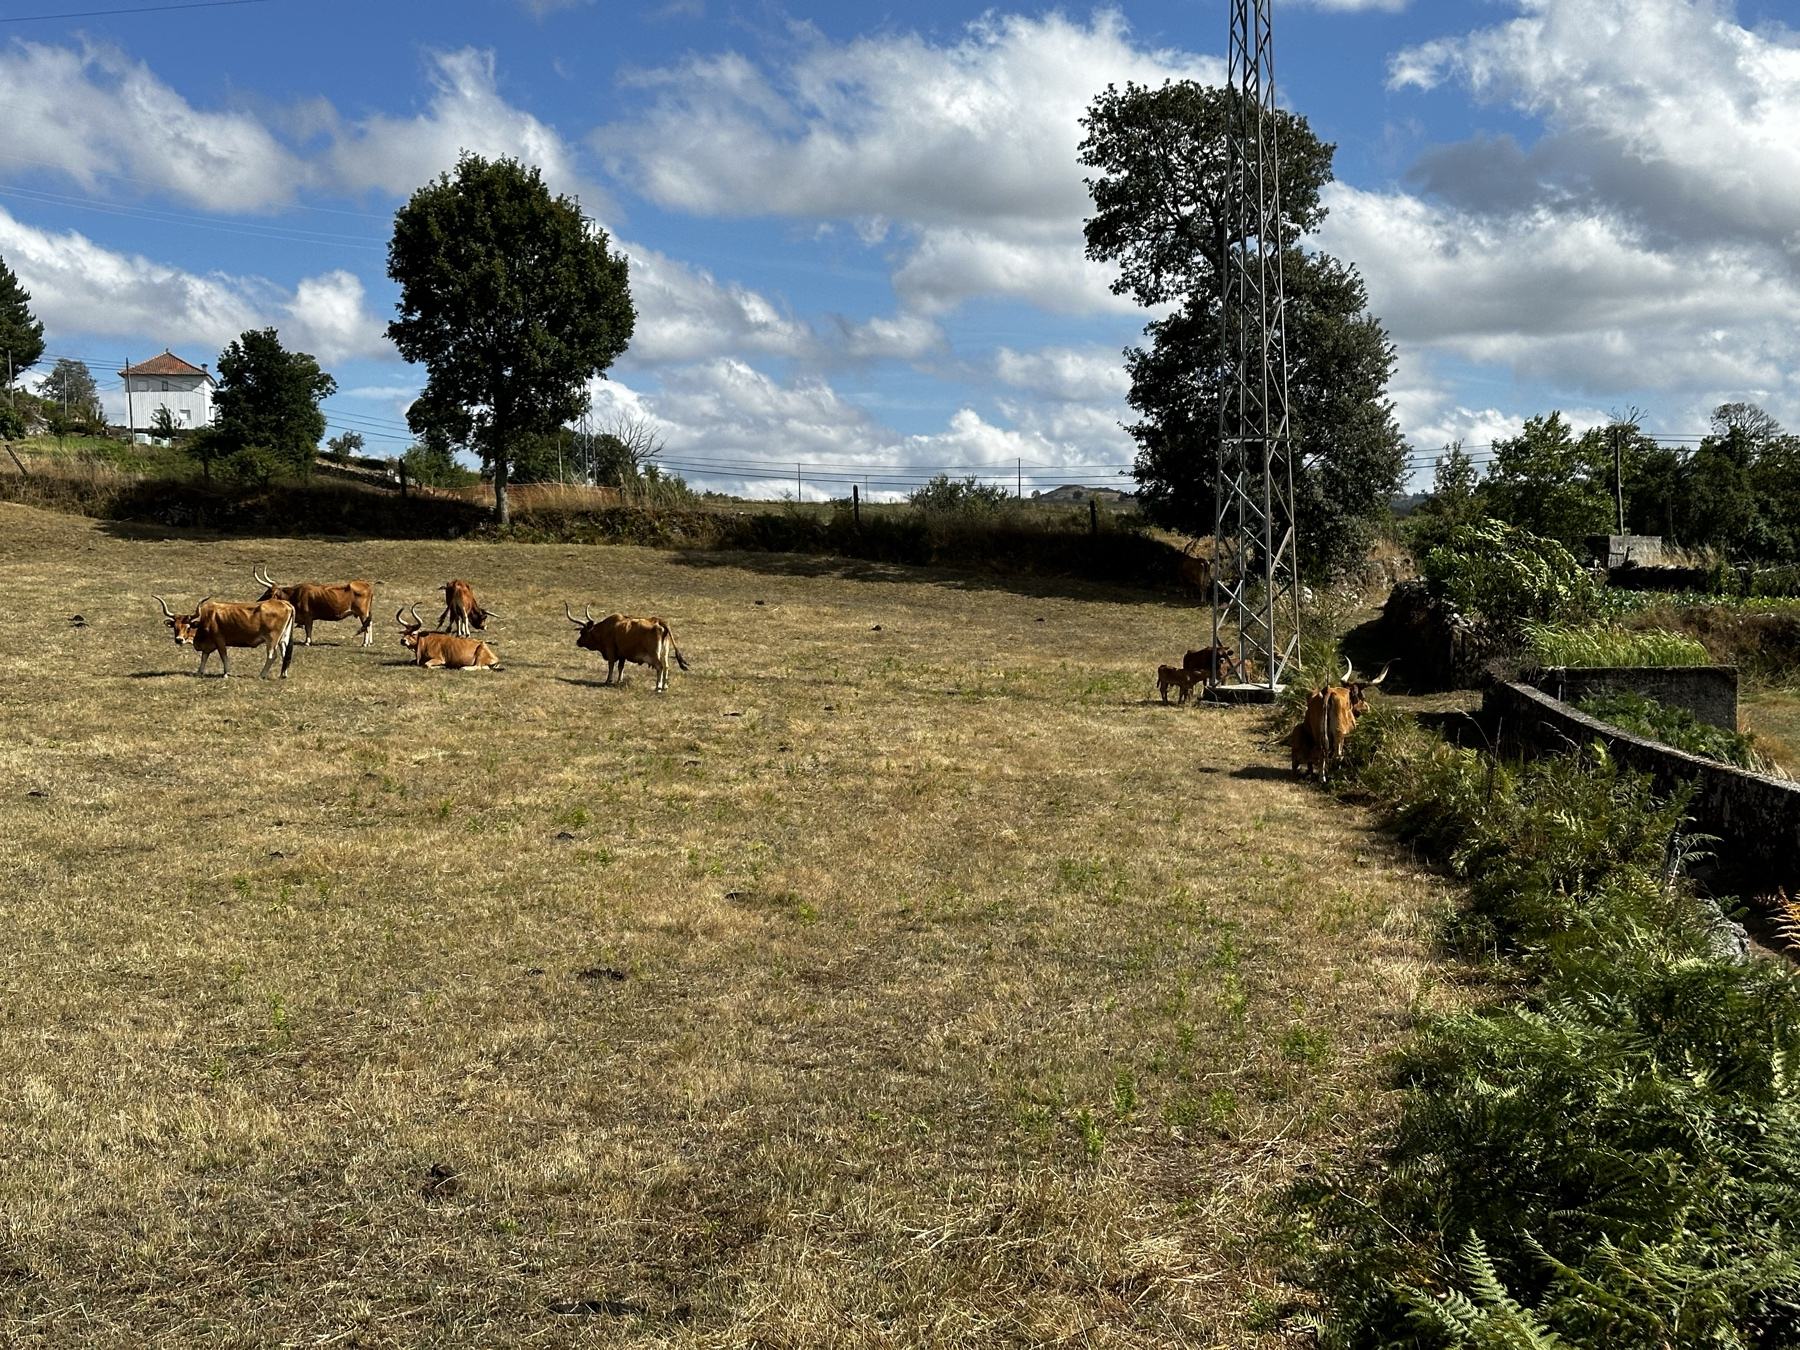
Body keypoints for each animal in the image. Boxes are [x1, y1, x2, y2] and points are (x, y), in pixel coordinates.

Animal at [155, 594, 296, 679]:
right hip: (283, 638)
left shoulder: (219, 641)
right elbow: (204, 657)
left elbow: (224, 656)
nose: (179, 639)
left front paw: (226, 673)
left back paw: (262, 674)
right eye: (175, 627)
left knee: (272, 656)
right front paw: (199, 671)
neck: (206, 620)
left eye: (188, 627)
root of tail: (285, 604)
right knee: (285, 654)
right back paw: (283, 674)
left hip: (272, 639)